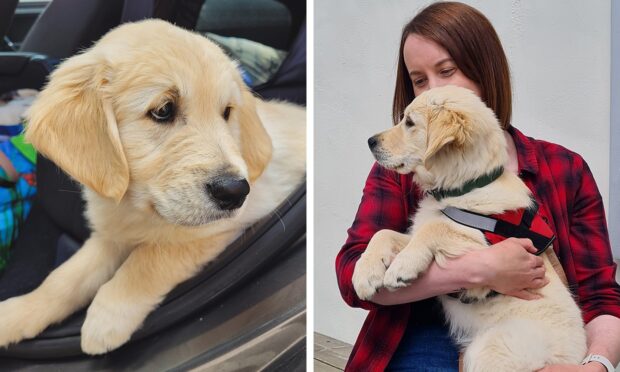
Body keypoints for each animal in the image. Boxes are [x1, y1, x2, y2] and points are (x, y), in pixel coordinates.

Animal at [0, 19, 306, 354]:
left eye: (227, 112)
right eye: (163, 110)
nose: (235, 192)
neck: (137, 208)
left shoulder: (233, 221)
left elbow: (152, 257)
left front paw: (107, 317)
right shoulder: (109, 235)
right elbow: (65, 277)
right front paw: (18, 312)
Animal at [354, 85, 588, 370]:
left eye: (409, 122)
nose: (370, 141)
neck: (464, 188)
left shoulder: (487, 249)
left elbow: (436, 228)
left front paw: (402, 267)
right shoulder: (418, 228)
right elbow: (383, 233)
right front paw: (365, 274)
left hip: (492, 348)